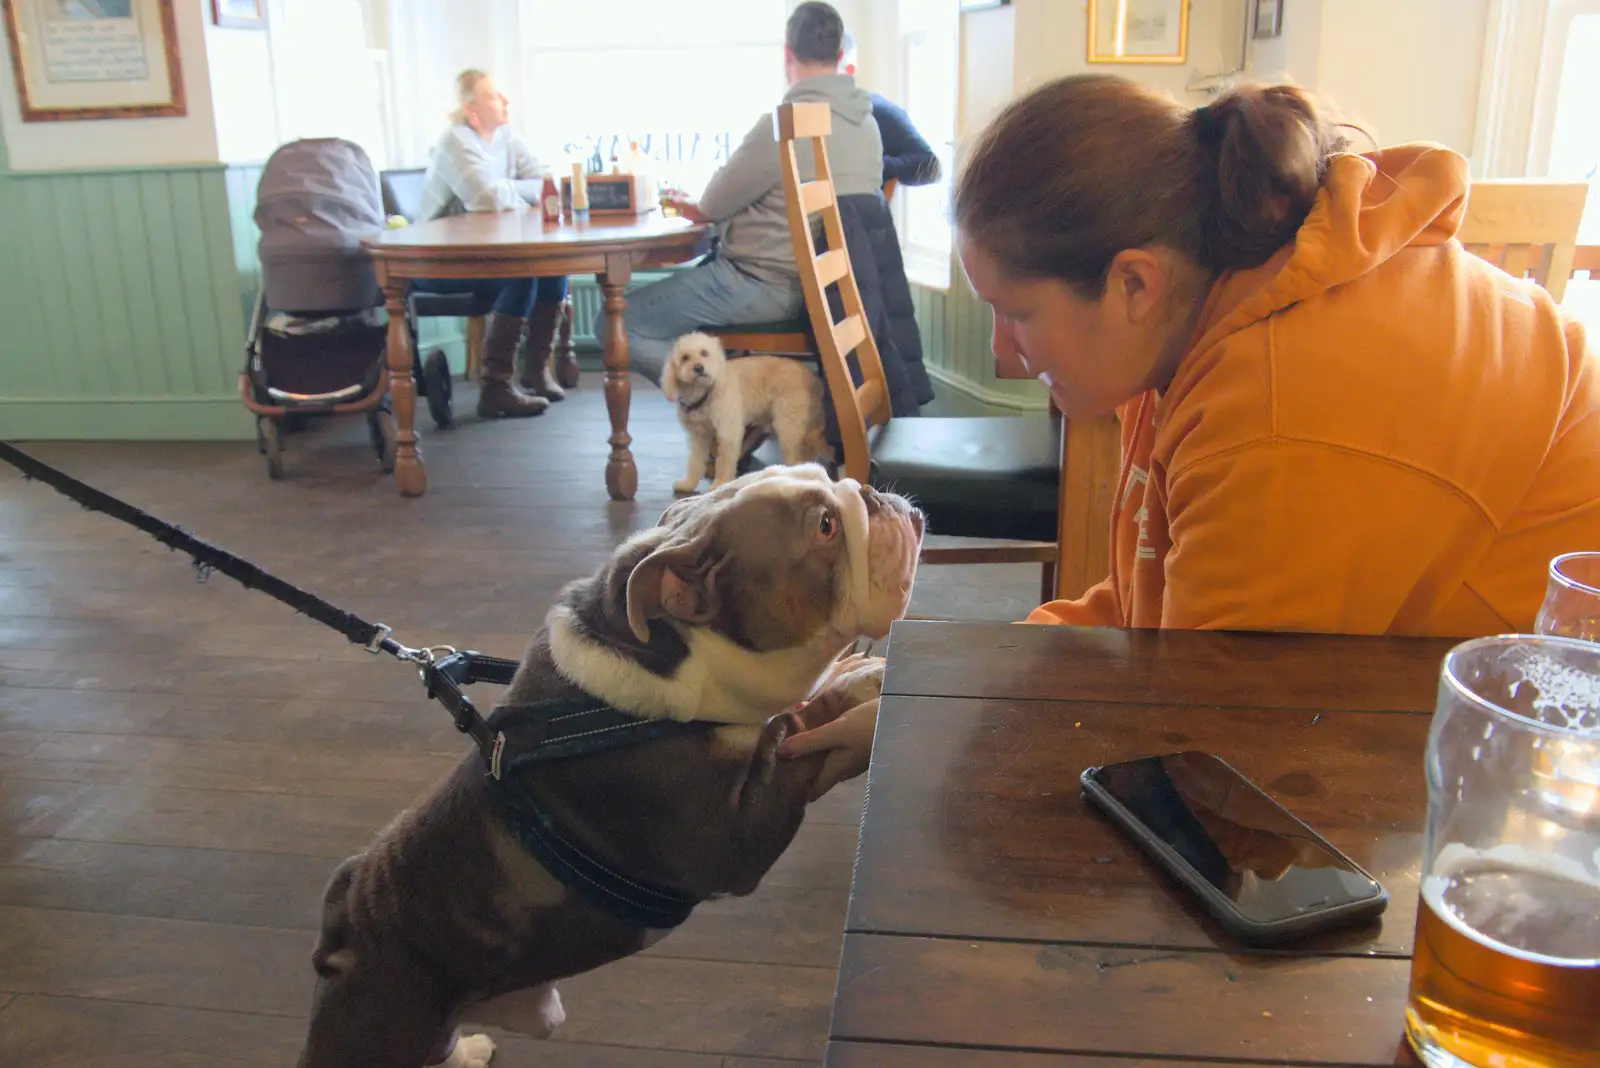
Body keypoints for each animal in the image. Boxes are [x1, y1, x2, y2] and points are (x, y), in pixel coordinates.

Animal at [665, 330, 832, 495]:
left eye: (704, 353)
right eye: (685, 357)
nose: (699, 368)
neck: (705, 392)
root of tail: (814, 378)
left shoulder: (728, 433)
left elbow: (724, 461)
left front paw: (720, 483)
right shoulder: (698, 437)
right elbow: (695, 462)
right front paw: (688, 483)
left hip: (788, 425)